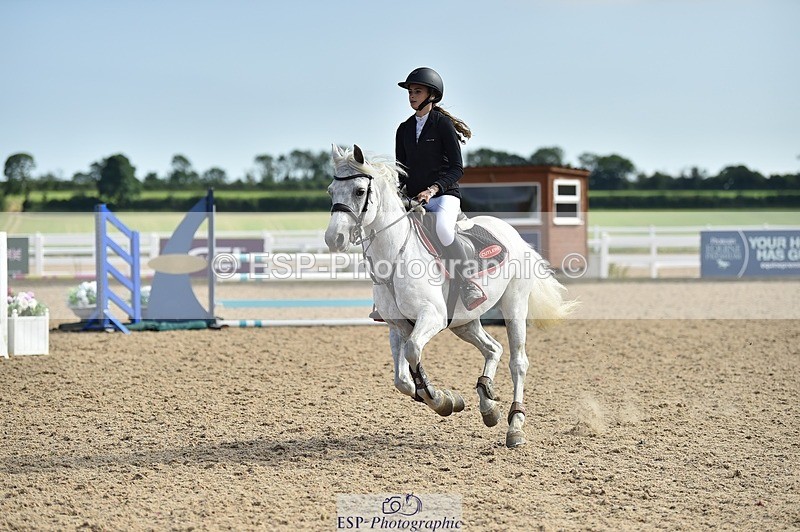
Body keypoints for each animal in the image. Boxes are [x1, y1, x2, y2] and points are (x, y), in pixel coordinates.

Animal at [324, 144, 577, 448]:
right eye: (331, 191)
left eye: (360, 191)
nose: (333, 239)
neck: (395, 255)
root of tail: (514, 234)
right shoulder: (397, 326)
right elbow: (402, 380)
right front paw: (448, 399)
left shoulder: (431, 317)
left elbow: (413, 352)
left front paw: (440, 399)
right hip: (464, 322)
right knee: (493, 348)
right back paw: (488, 405)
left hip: (514, 307)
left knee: (518, 362)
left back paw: (515, 427)